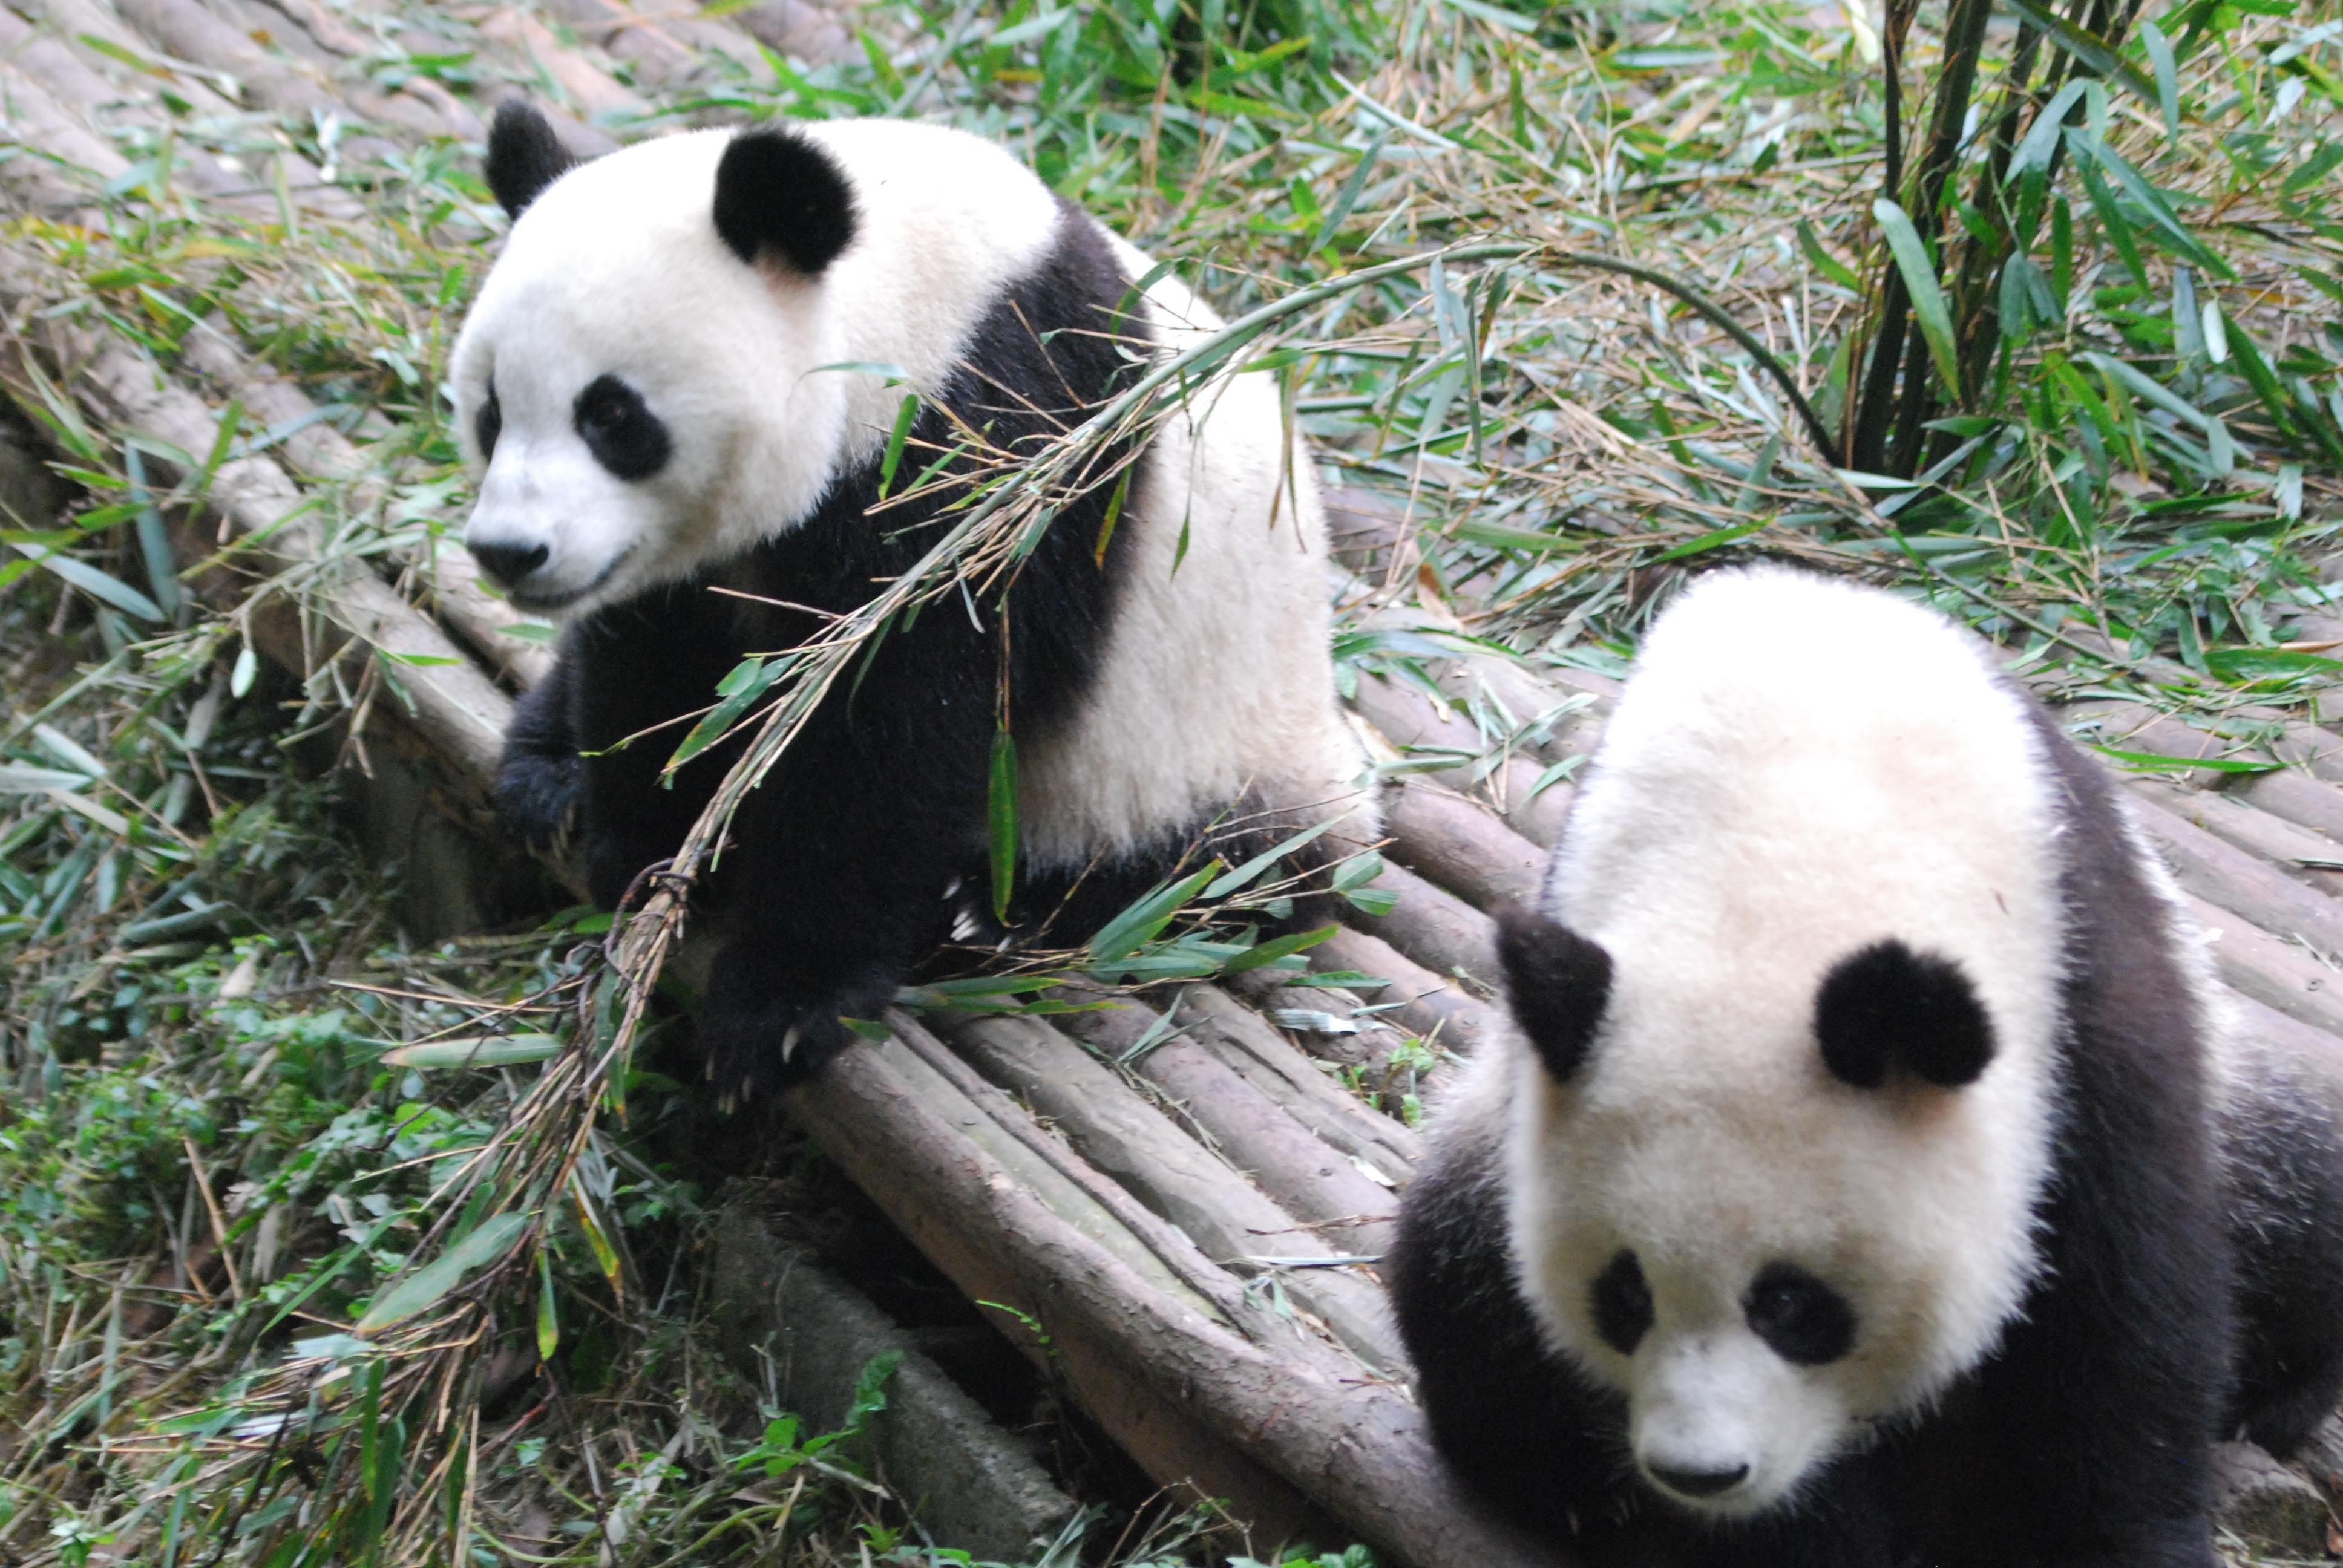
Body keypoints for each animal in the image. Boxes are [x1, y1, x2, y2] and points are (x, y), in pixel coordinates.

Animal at [452, 104, 1374, 1095]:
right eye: (492, 412)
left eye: (612, 416)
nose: (511, 552)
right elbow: (658, 667)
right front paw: (644, 844)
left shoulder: (1000, 459)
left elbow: (895, 729)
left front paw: (781, 1006)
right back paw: (548, 771)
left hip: (1214, 751)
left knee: (1219, 866)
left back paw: (993, 908)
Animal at [1389, 568, 2343, 1567]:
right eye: (1625, 1296)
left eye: (1791, 1305)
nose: (1701, 1473)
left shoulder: (2085, 1006)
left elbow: (2124, 1323)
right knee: (1457, 1281)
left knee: (2300, 1199)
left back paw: (2279, 1393)